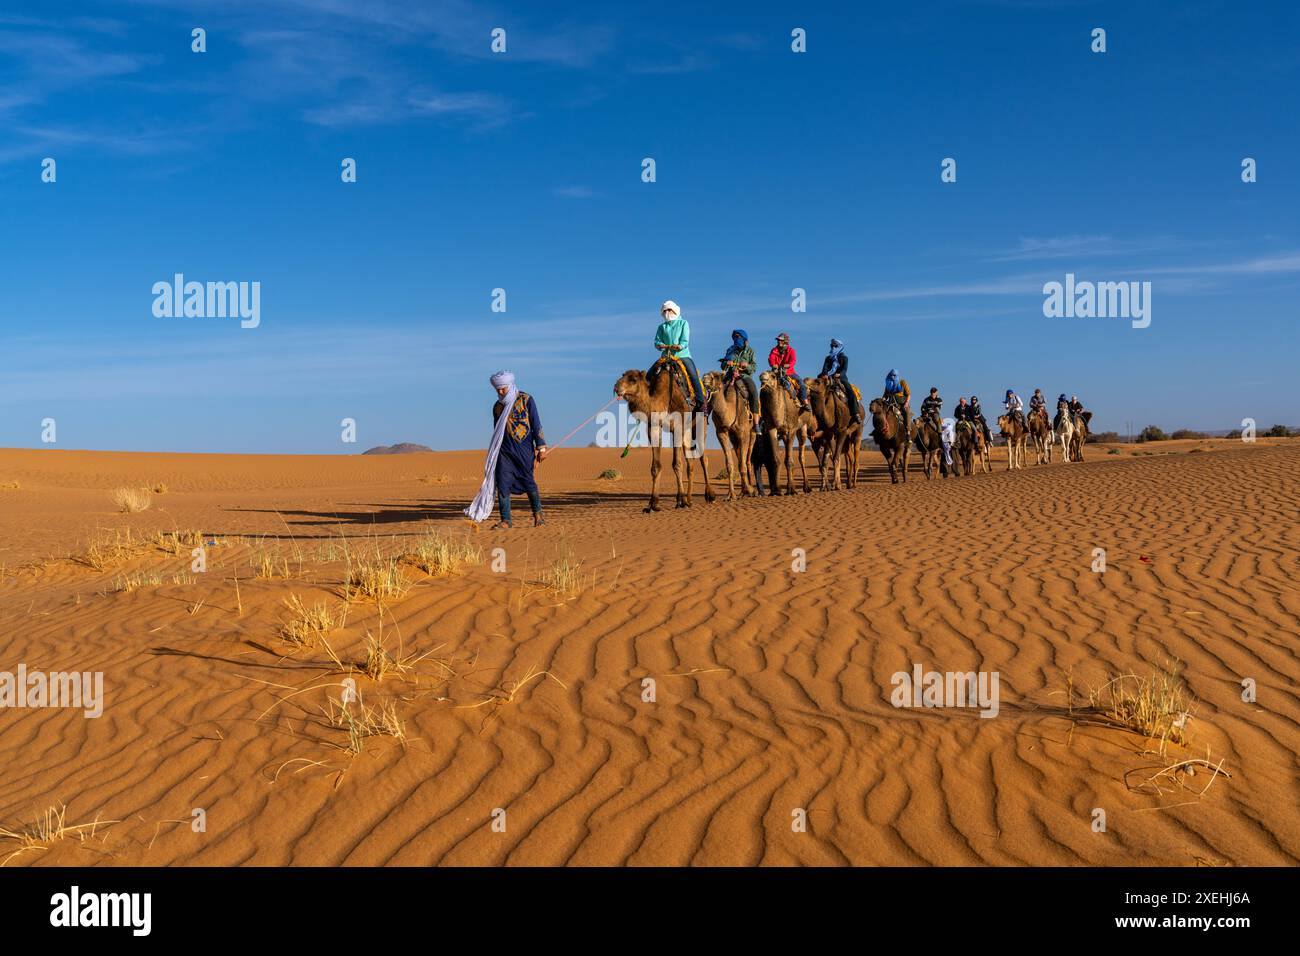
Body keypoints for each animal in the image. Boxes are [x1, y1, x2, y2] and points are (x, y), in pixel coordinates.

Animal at [611, 361, 717, 512]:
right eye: (623, 375)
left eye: (633, 379)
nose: (616, 387)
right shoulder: (654, 427)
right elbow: (656, 466)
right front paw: (653, 504)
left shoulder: (677, 426)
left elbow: (677, 464)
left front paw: (680, 501)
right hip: (687, 431)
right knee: (690, 462)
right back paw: (689, 499)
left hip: (701, 423)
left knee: (703, 458)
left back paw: (709, 496)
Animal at [707, 369, 759, 502]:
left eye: (717, 376)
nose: (705, 379)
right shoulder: (721, 432)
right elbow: (730, 464)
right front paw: (731, 495)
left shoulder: (744, 433)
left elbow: (742, 464)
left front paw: (751, 490)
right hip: (734, 439)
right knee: (741, 458)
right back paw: (742, 492)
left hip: (752, 433)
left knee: (747, 460)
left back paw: (751, 490)